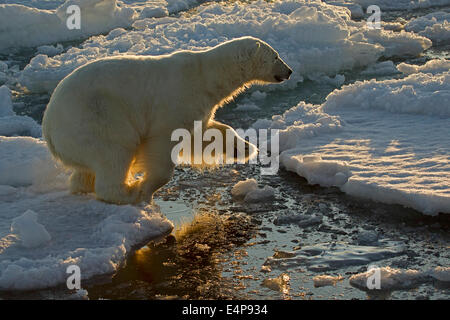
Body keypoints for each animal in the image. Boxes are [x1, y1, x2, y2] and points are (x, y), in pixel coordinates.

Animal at [43, 36, 292, 204]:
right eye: (276, 56)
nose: (289, 71)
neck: (205, 76)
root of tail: (48, 125)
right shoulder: (176, 101)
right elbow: (164, 146)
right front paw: (144, 188)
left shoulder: (198, 104)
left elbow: (204, 133)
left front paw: (245, 148)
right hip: (95, 116)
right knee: (114, 152)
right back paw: (127, 192)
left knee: (87, 168)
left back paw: (83, 187)